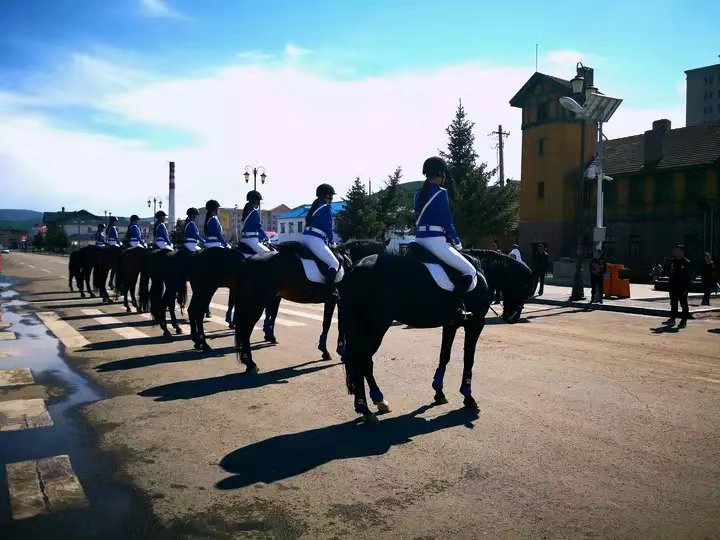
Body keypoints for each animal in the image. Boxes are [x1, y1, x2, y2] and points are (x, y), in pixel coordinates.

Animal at [233, 238, 386, 374]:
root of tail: (246, 262)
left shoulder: (334, 302)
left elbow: (329, 324)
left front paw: (327, 351)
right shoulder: (339, 302)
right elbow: (335, 325)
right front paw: (336, 351)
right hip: (256, 303)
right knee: (246, 330)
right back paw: (251, 363)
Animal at [340, 247, 532, 424]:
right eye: (524, 287)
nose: (512, 317)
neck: (482, 269)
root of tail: (354, 268)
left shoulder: (451, 324)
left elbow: (444, 356)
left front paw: (439, 392)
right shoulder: (475, 324)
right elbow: (468, 359)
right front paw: (468, 396)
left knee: (362, 361)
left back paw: (376, 402)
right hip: (376, 326)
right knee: (360, 360)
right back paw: (365, 408)